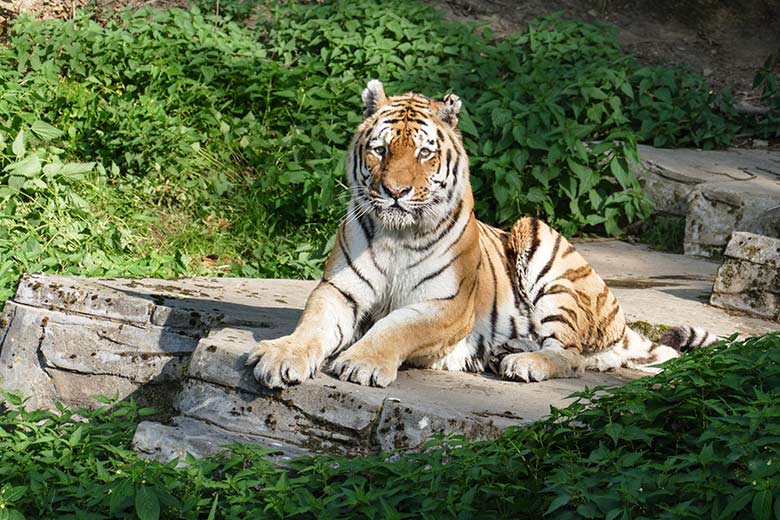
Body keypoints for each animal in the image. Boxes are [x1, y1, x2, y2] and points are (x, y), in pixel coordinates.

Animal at [247, 81, 716, 388]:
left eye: (424, 152)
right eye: (380, 150)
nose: (395, 192)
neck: (397, 236)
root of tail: (620, 318)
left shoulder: (446, 305)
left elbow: (395, 328)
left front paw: (361, 362)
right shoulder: (338, 291)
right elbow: (311, 328)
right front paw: (281, 356)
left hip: (539, 239)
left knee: (570, 356)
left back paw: (524, 363)